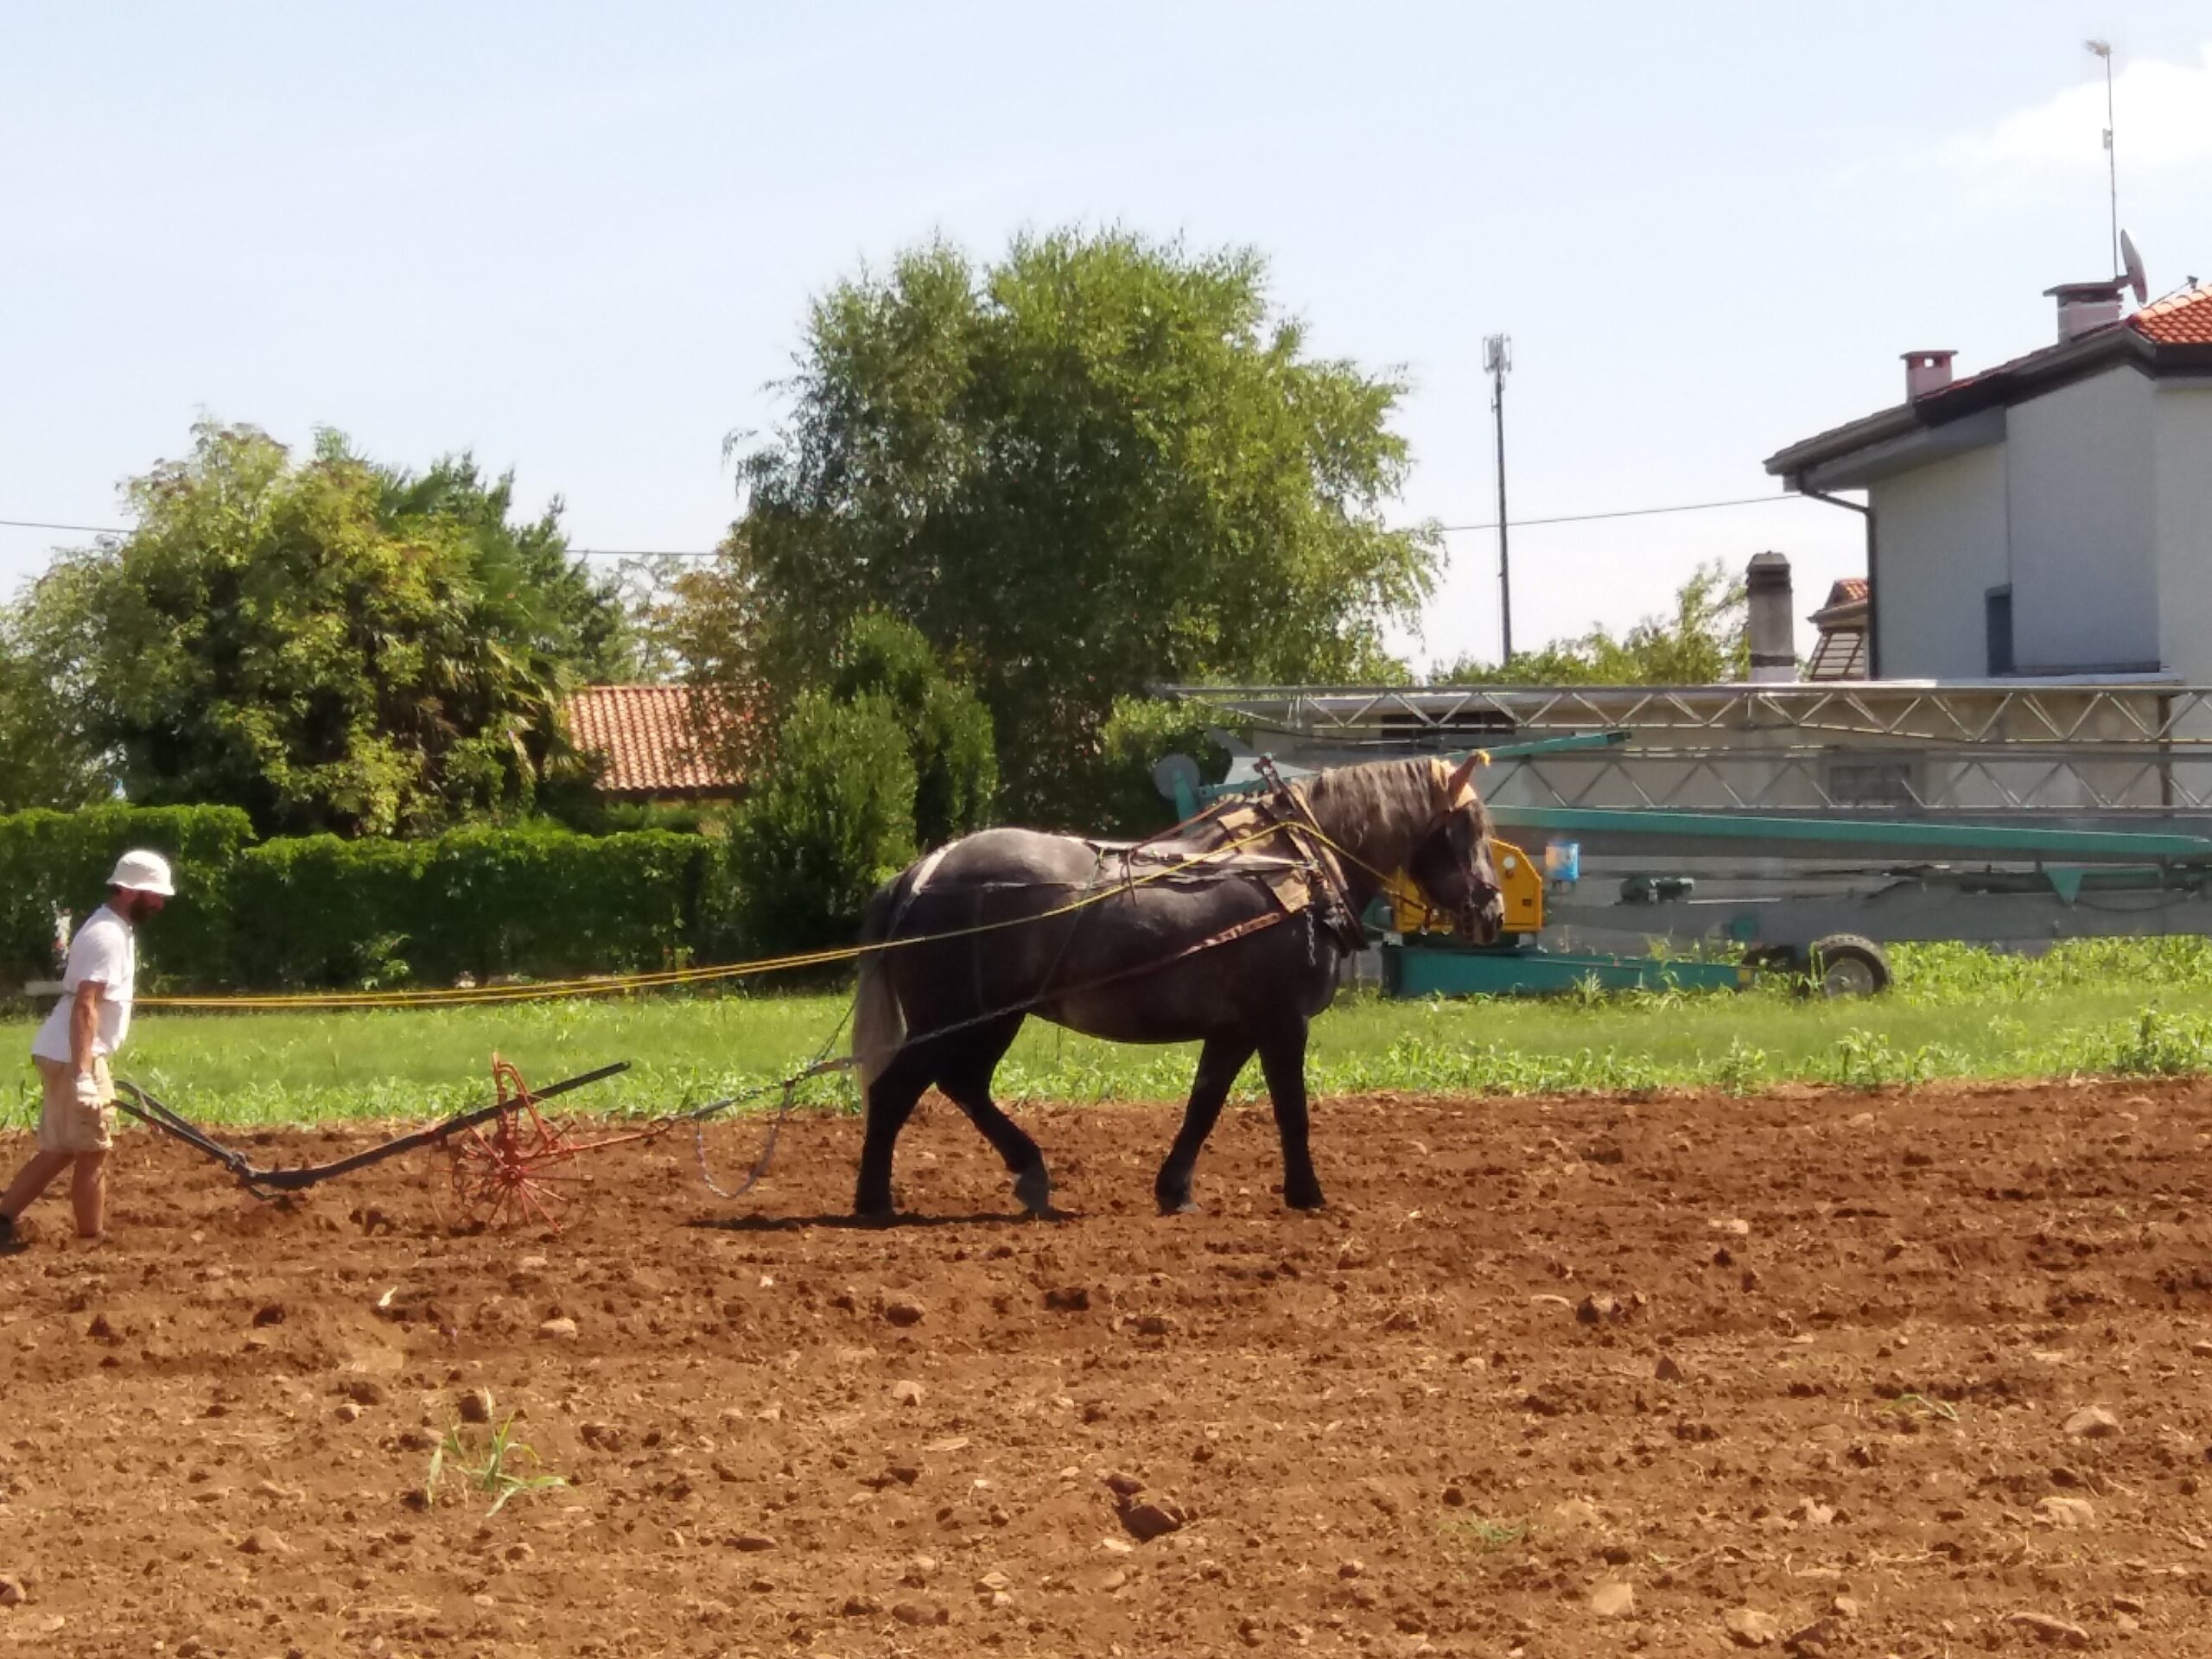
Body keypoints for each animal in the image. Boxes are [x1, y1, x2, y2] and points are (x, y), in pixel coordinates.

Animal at [848, 752, 1503, 1219]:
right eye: (1467, 826)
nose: (1493, 913)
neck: (1297, 867)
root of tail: (921, 873)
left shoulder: (1235, 1029)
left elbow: (1203, 1105)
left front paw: (1176, 1190)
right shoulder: (1282, 1022)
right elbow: (1291, 1109)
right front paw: (1308, 1195)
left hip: (992, 1017)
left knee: (962, 1086)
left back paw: (1029, 1173)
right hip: (952, 1019)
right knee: (897, 1091)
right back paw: (874, 1202)